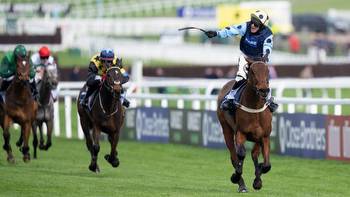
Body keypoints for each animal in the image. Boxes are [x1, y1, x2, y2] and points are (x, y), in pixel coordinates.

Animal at [217, 58, 272, 192]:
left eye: (267, 70)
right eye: (252, 71)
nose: (264, 90)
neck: (255, 108)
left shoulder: (264, 136)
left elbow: (267, 165)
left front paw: (258, 179)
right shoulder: (240, 133)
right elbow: (241, 154)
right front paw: (235, 177)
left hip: (257, 139)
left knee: (254, 154)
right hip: (226, 129)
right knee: (234, 156)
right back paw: (241, 184)